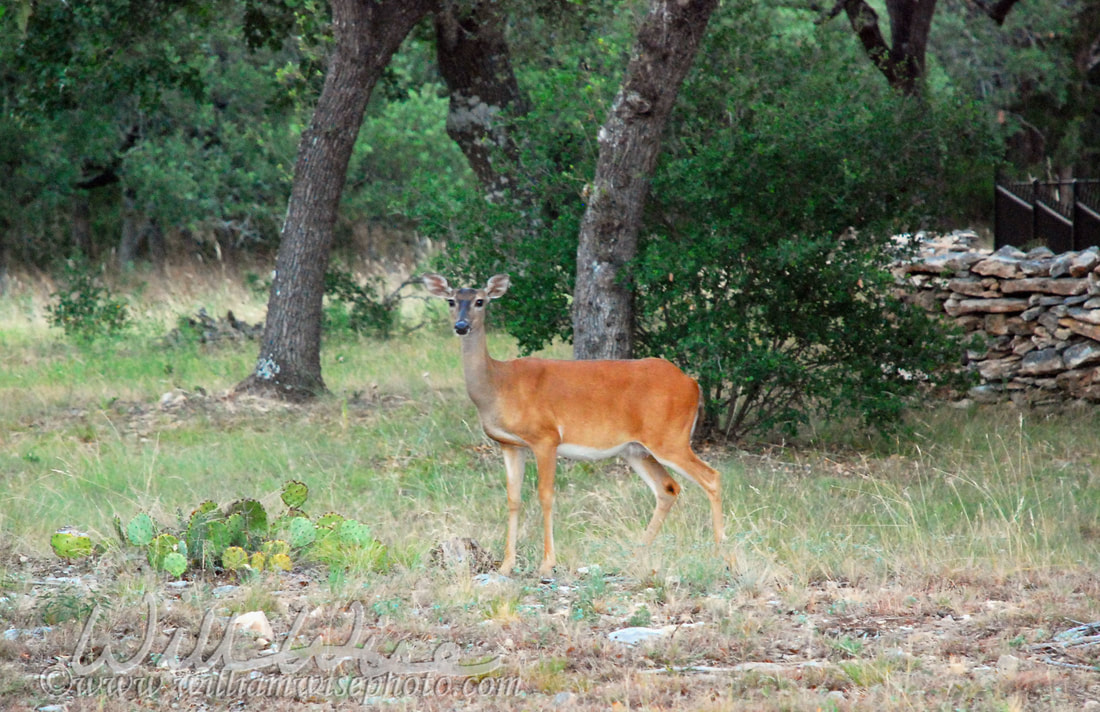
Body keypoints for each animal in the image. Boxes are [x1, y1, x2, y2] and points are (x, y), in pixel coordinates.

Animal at [420, 272, 721, 581]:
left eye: (480, 301)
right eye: (451, 300)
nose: (461, 326)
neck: (499, 385)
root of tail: (693, 383)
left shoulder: (546, 437)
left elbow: (546, 495)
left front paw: (546, 564)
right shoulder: (510, 444)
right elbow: (513, 498)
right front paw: (506, 565)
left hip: (669, 437)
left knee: (711, 477)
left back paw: (722, 555)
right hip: (636, 449)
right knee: (668, 488)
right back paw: (636, 556)